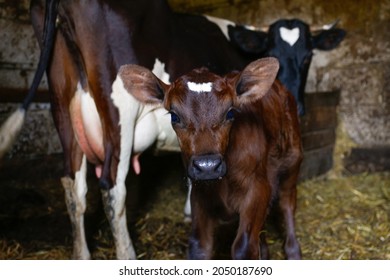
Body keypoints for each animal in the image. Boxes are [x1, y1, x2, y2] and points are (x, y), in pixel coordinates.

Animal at [118, 58, 302, 262]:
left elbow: (244, 247)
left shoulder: (257, 188)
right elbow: (199, 245)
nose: (208, 166)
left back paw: (294, 252)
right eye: (175, 116)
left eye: (230, 113)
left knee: (287, 204)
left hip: (292, 163)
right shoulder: (200, 196)